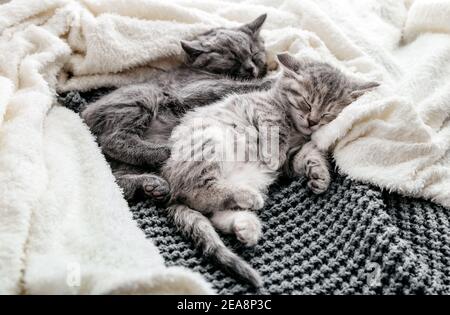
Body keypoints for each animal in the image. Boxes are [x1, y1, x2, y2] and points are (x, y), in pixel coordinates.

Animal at [80, 14, 270, 201]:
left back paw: (152, 186)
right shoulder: (196, 89)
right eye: (233, 58)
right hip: (143, 96)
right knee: (113, 139)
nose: (251, 68)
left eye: (254, 54)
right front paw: (271, 80)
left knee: (116, 184)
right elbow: (236, 86)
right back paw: (165, 152)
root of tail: (84, 115)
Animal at [162, 52, 380, 286]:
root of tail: (168, 183)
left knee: (213, 212)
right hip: (209, 142)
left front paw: (320, 175)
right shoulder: (261, 109)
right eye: (306, 103)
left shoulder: (292, 158)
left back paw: (245, 225)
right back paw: (248, 199)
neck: (296, 129)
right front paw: (272, 154)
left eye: (327, 114)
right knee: (197, 192)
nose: (312, 122)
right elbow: (275, 128)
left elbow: (308, 154)